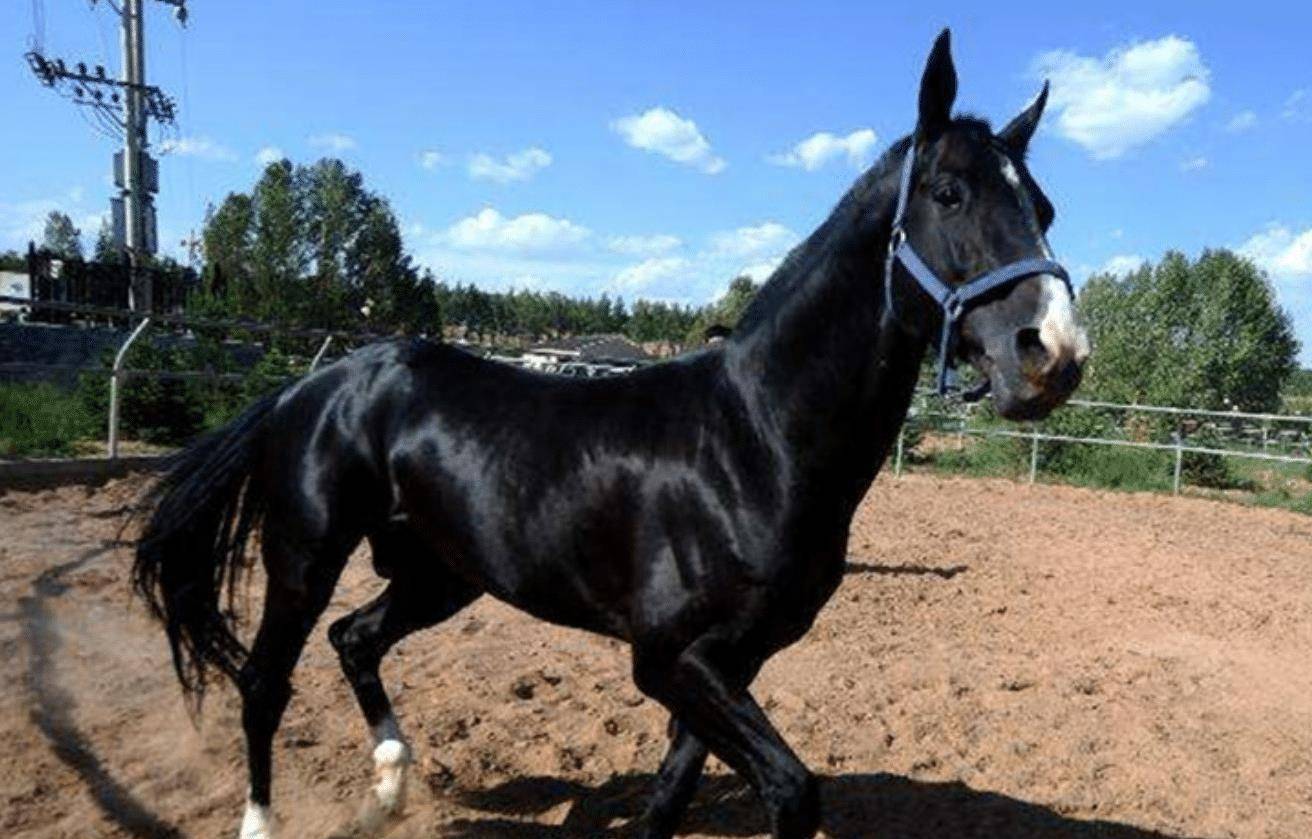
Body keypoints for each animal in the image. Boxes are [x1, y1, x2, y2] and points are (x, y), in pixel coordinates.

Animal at [133, 29, 1086, 835]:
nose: (1054, 353)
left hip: (442, 572)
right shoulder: (667, 659)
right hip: (306, 554)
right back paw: (267, 818)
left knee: (355, 639)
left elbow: (668, 797)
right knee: (265, 678)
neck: (754, 444)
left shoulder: (730, 663)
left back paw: (391, 785)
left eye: (1043, 206)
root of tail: (313, 383)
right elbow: (790, 787)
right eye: (949, 193)